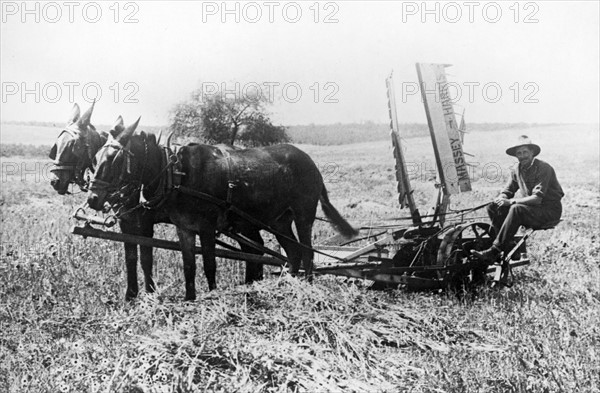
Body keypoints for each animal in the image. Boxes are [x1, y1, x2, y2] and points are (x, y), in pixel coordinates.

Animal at [86, 118, 358, 298]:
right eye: (96, 155)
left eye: (115, 159)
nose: (93, 199)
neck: (177, 174)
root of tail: (311, 163)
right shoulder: (184, 228)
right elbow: (188, 266)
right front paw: (189, 299)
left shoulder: (206, 227)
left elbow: (209, 263)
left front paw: (212, 295)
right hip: (278, 220)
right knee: (292, 252)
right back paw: (285, 285)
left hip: (303, 215)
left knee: (307, 253)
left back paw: (307, 288)